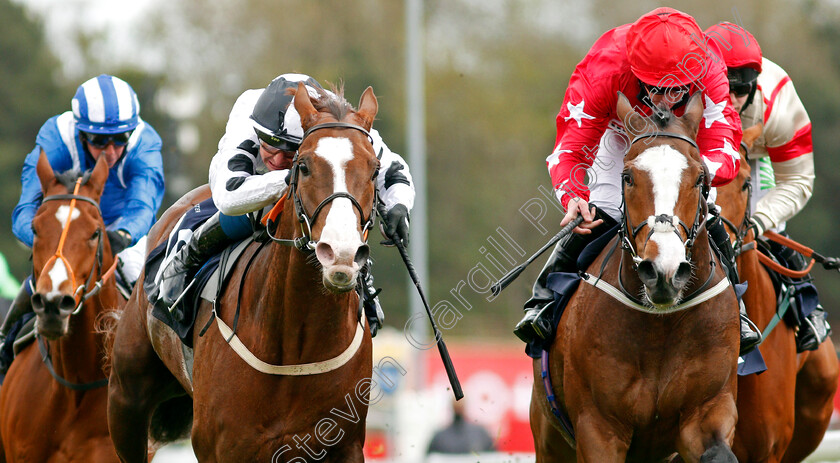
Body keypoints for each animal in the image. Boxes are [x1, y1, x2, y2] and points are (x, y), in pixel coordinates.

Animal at [107, 84, 378, 463]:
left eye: (375, 169)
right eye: (304, 166)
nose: (341, 253)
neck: (295, 345)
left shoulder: (344, 445)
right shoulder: (221, 446)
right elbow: (234, 190)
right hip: (126, 399)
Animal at [532, 92, 740, 462]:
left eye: (700, 178)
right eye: (628, 177)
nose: (663, 272)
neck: (660, 325)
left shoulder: (709, 410)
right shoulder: (598, 427)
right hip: (549, 440)